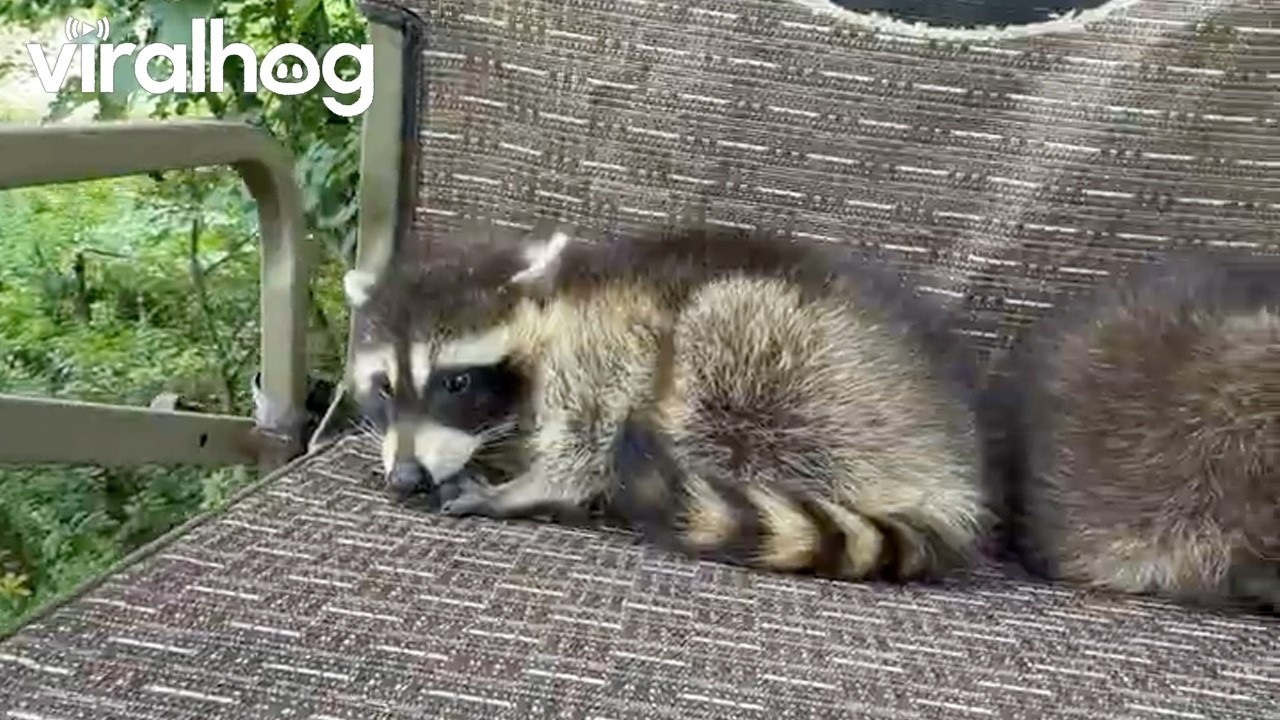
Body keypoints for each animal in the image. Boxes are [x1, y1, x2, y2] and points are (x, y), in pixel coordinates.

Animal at [345, 220, 991, 581]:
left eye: (454, 383)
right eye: (384, 388)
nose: (405, 477)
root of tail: (951, 462)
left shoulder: (607, 331)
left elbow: (596, 413)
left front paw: (542, 484)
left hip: (817, 379)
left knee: (714, 339)